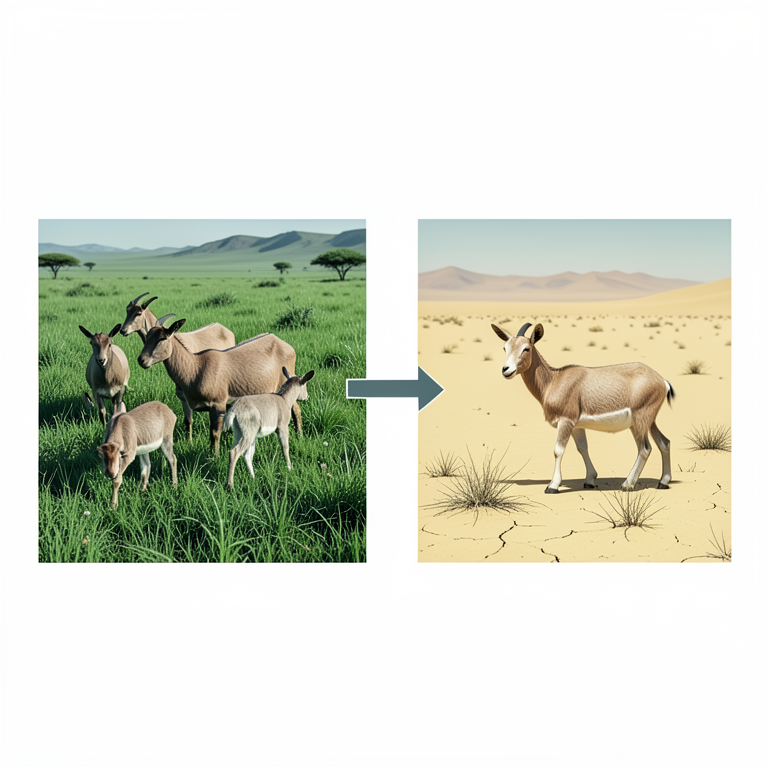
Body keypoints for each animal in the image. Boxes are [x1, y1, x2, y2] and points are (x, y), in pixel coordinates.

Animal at [137, 316, 302, 455]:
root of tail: (287, 346)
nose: (141, 360)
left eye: (162, 338)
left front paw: (214, 456)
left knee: (296, 409)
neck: (195, 367)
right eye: (146, 337)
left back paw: (299, 435)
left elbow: (214, 433)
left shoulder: (217, 404)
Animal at [491, 322, 675, 493]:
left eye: (526, 348)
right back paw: (663, 482)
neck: (554, 380)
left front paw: (552, 486)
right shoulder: (577, 426)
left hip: (639, 421)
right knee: (664, 442)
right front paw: (590, 480)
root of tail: (662, 380)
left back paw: (627, 485)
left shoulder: (565, 421)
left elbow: (558, 450)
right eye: (505, 347)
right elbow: (582, 448)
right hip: (649, 421)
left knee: (645, 448)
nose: (506, 370)